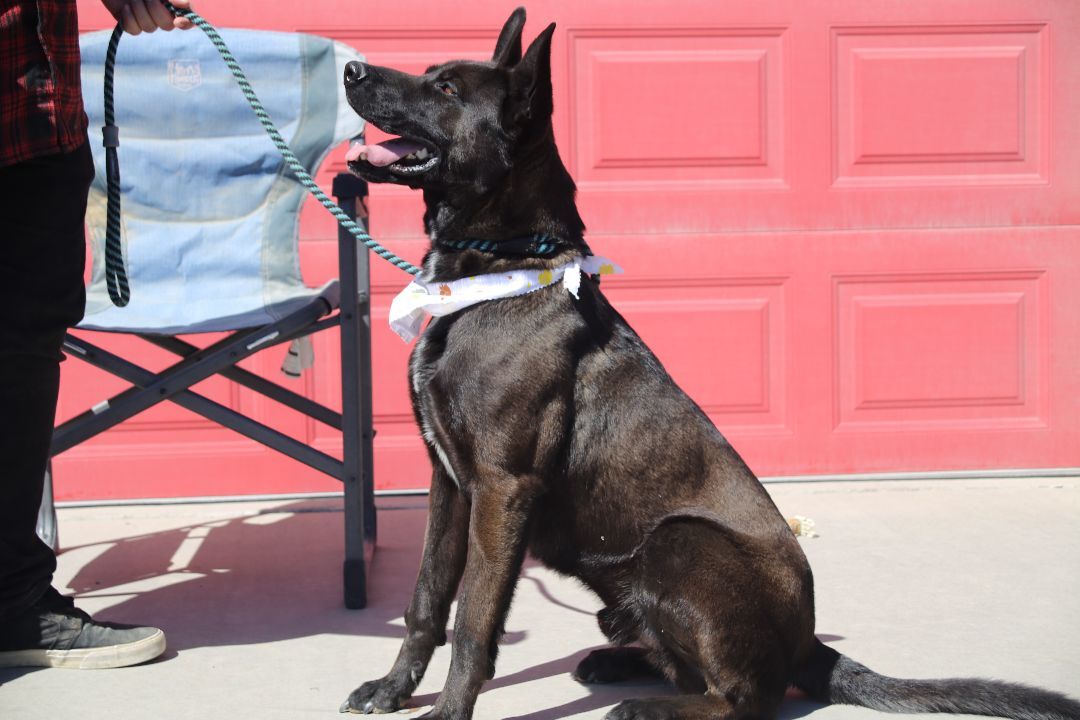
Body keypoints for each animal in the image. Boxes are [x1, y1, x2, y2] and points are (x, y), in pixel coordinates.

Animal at [341, 7, 1080, 720]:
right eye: (431, 74)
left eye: (445, 90)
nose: (350, 69)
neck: (502, 264)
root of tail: (809, 641)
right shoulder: (449, 483)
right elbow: (426, 598)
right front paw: (392, 689)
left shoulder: (502, 488)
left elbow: (474, 618)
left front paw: (447, 711)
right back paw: (617, 664)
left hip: (676, 543)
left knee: (747, 697)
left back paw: (645, 706)